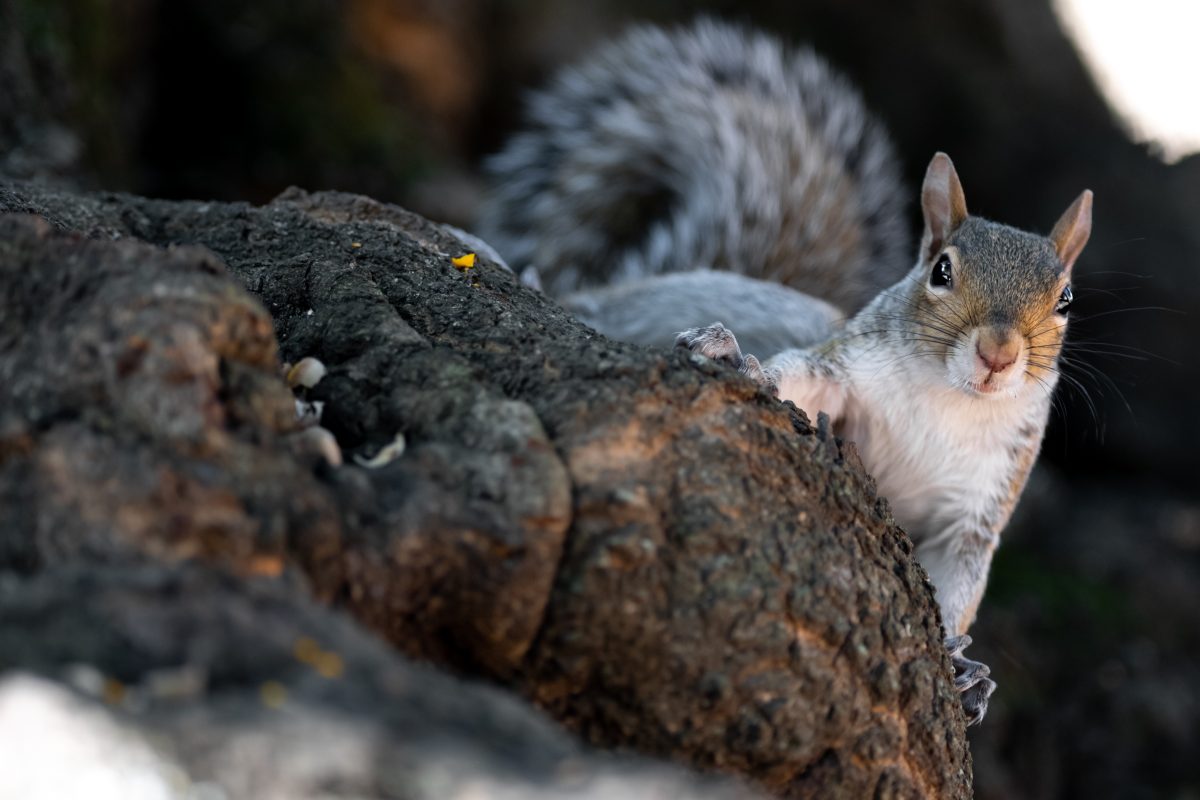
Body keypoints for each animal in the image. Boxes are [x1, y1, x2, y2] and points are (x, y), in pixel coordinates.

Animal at [472, 17, 1094, 724]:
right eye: (941, 271)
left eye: (1066, 300)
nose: (998, 354)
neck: (950, 400)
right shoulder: (845, 372)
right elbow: (799, 376)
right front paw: (742, 363)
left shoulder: (978, 507)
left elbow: (955, 584)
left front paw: (965, 673)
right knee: (589, 300)